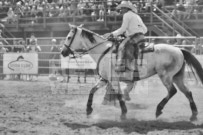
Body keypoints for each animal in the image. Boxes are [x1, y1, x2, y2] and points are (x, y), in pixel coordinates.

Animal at [60, 24, 203, 121]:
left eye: (68, 37)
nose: (63, 52)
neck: (103, 51)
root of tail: (179, 50)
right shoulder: (105, 79)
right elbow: (92, 90)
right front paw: (89, 109)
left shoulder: (113, 80)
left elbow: (119, 95)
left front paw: (123, 113)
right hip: (177, 77)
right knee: (187, 92)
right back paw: (194, 115)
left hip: (166, 76)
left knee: (172, 91)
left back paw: (158, 110)